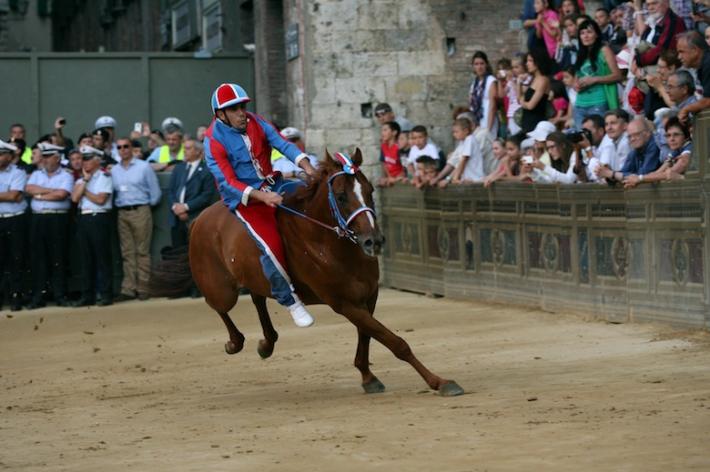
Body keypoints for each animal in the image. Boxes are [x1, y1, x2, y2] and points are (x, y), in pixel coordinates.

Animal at [189, 149, 468, 396]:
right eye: (342, 196)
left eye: (370, 191)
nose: (374, 241)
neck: (327, 242)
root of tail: (200, 218)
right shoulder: (344, 303)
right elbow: (394, 341)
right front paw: (440, 382)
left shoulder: (368, 296)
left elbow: (368, 336)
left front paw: (368, 377)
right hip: (221, 289)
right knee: (220, 306)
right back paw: (235, 342)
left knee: (258, 297)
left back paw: (266, 343)